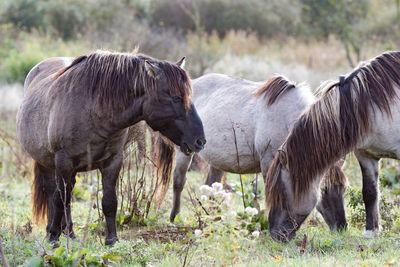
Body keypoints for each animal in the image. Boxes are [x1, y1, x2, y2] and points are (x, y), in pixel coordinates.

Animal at [16, 50, 205, 247]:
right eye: (176, 98)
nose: (200, 141)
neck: (91, 109)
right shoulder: (64, 162)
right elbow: (60, 199)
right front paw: (53, 238)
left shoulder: (112, 162)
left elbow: (109, 202)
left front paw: (111, 239)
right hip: (46, 163)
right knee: (54, 193)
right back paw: (52, 232)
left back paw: (69, 233)